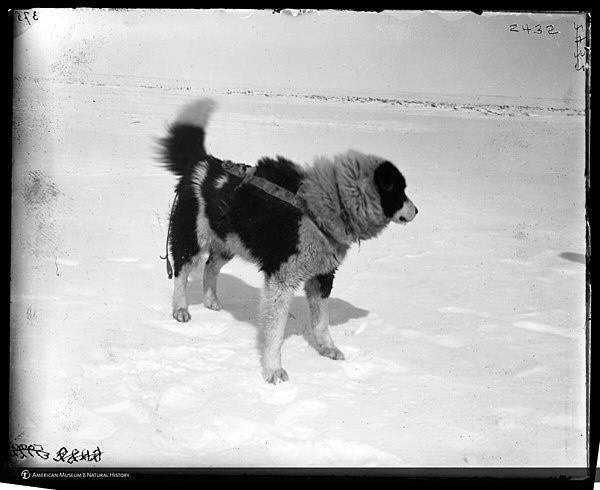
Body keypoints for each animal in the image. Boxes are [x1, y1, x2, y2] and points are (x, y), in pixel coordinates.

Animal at [158, 98, 418, 382]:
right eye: (400, 191)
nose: (417, 210)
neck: (322, 208)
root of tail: (202, 162)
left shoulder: (322, 276)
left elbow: (321, 322)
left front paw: (328, 349)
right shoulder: (281, 278)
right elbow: (275, 329)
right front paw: (273, 370)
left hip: (228, 241)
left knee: (210, 267)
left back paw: (211, 300)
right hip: (192, 237)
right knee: (181, 271)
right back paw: (180, 309)